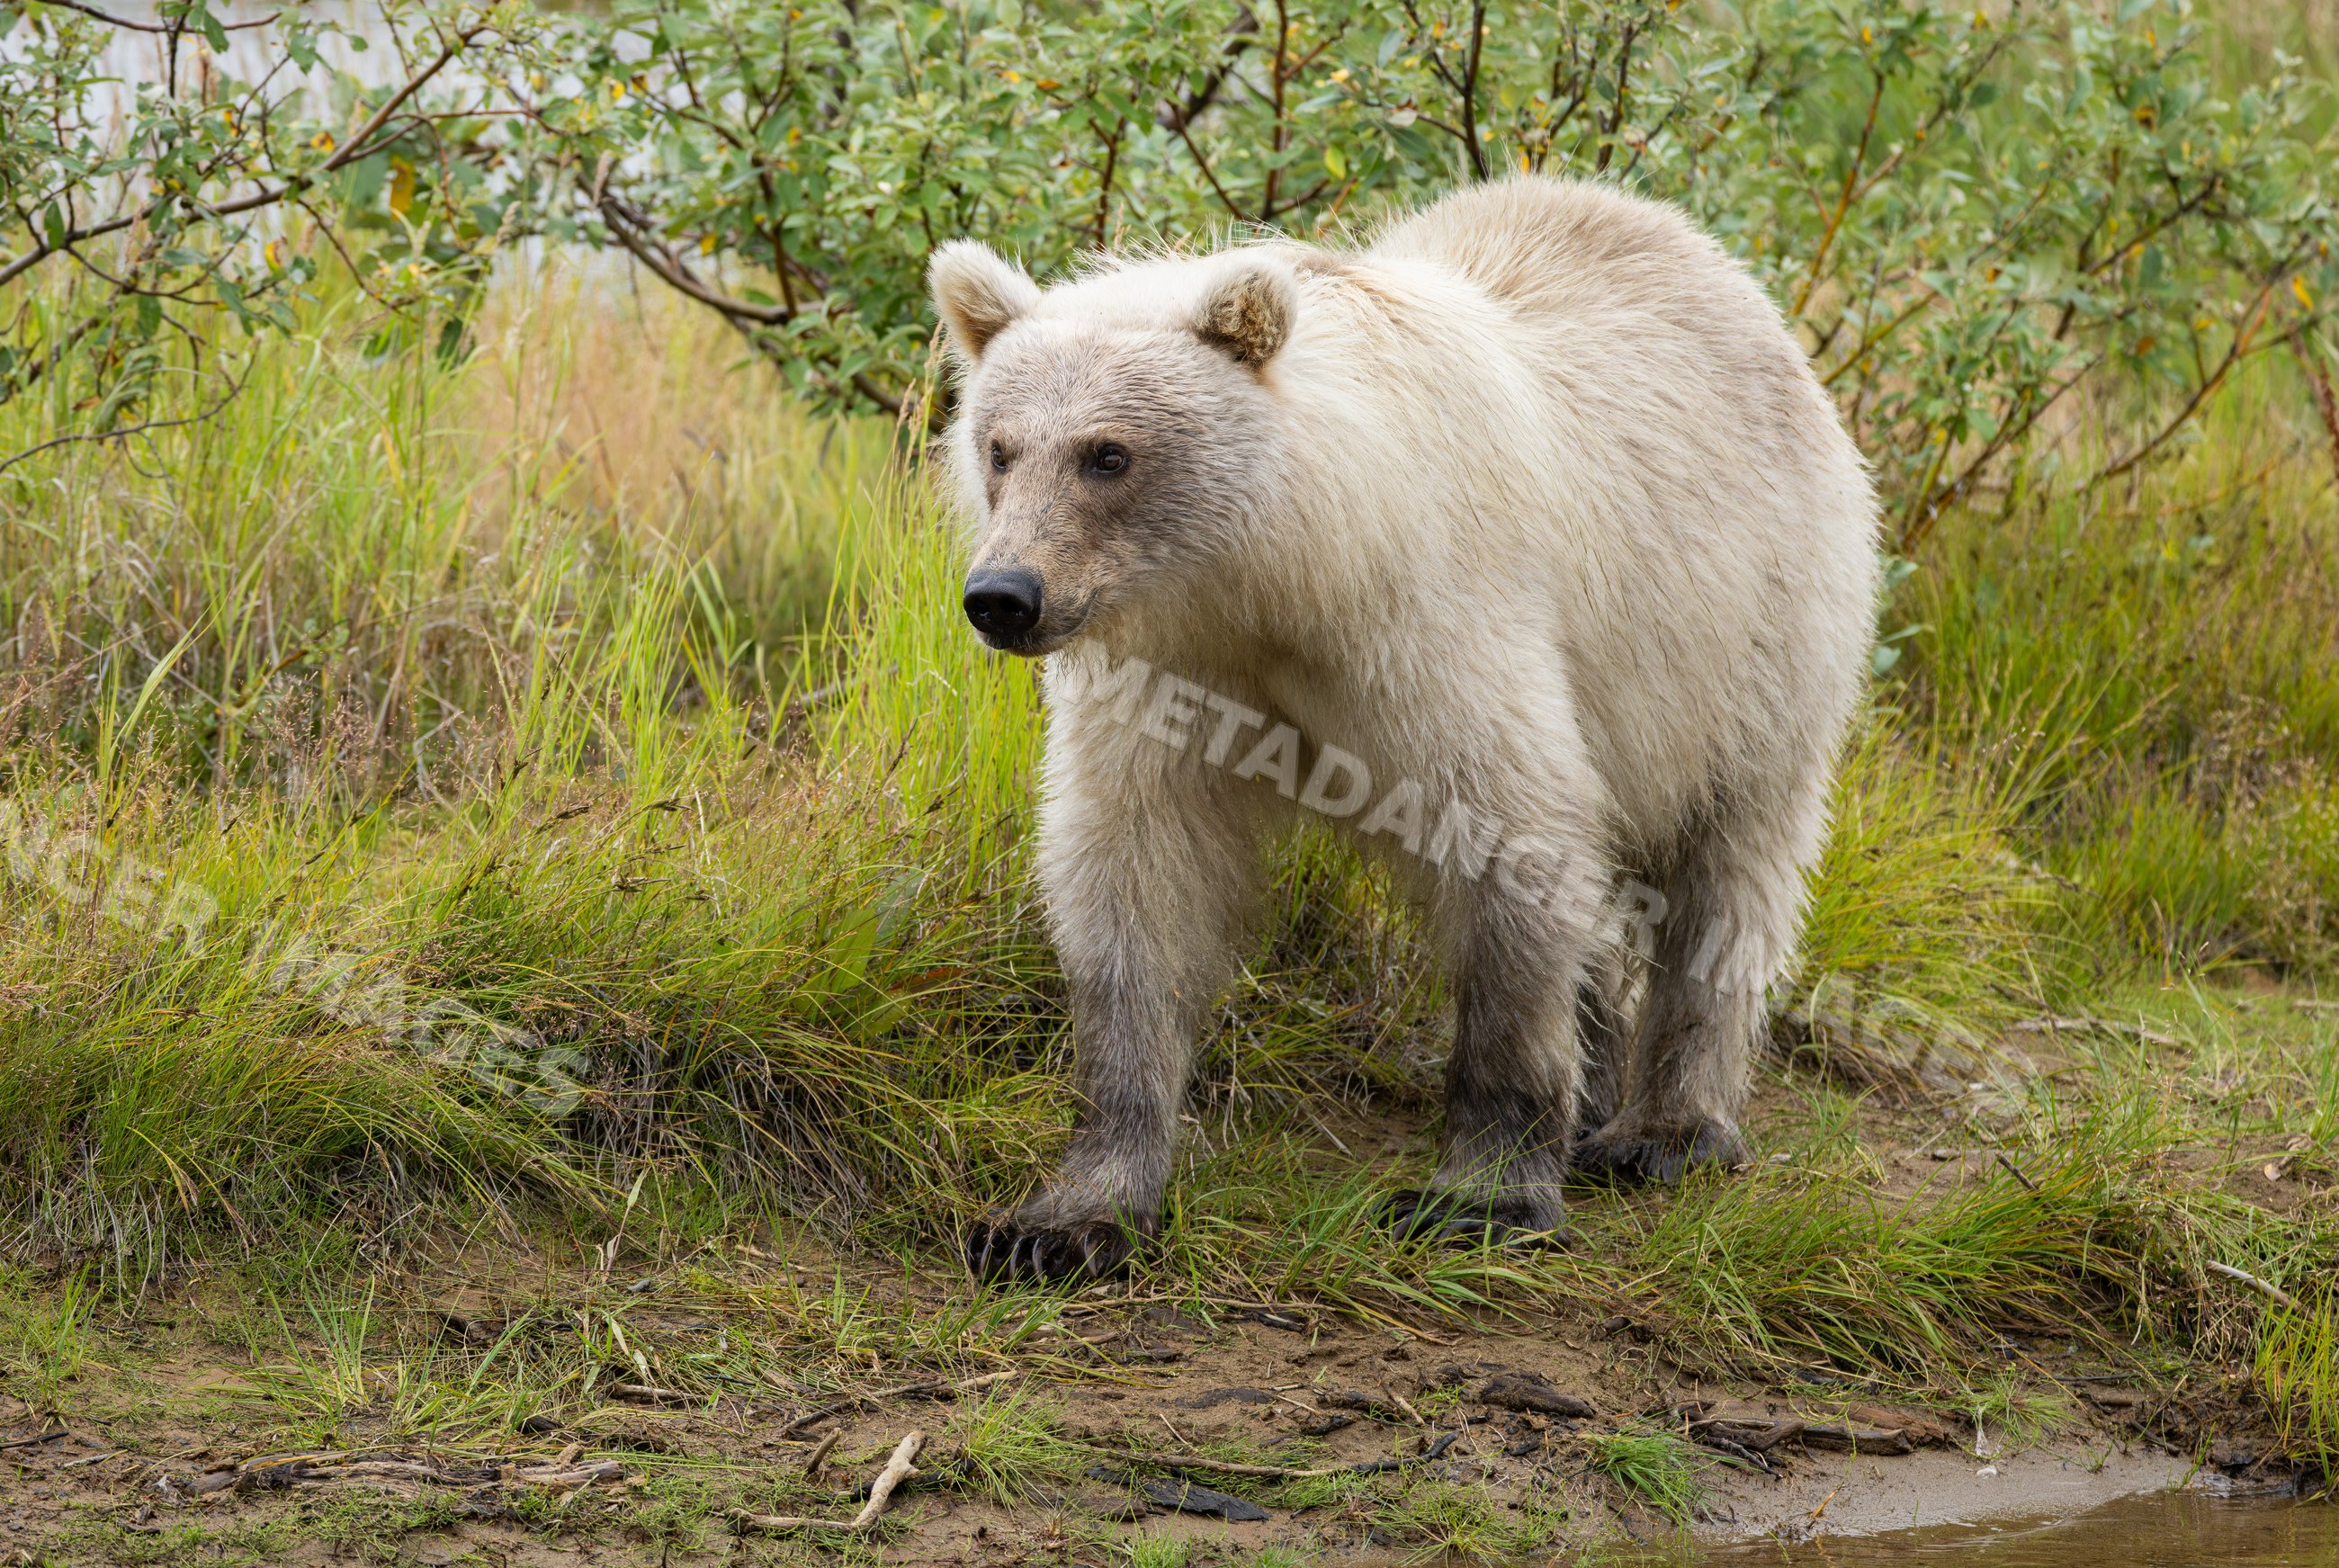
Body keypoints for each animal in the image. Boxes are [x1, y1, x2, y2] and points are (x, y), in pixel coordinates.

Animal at [929, 175, 1879, 1283]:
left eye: (1107, 454)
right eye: (998, 446)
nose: (1003, 595)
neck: (1274, 579)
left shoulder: (1430, 630)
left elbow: (1510, 835)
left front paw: (1481, 1191)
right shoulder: (1170, 682)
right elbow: (1134, 883)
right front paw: (1068, 1214)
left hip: (1755, 632)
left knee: (1729, 866)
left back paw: (1666, 1129)